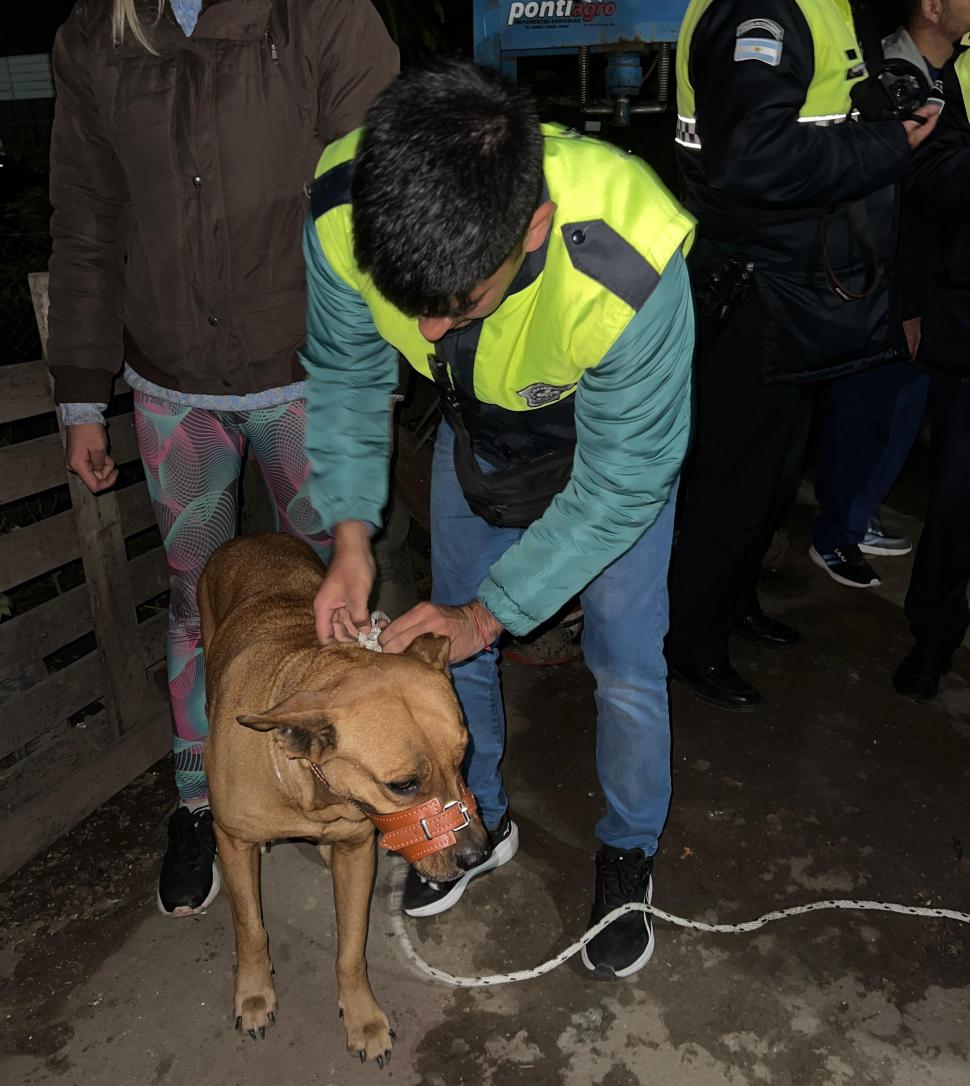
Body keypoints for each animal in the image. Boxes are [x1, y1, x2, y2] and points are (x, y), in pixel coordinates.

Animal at [196, 534, 488, 1059]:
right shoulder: (232, 841)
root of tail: (251, 537)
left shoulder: (356, 851)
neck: (311, 789)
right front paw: (254, 993)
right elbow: (250, 927)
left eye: (464, 757)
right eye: (403, 785)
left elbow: (351, 947)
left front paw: (362, 1016)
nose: (478, 855)